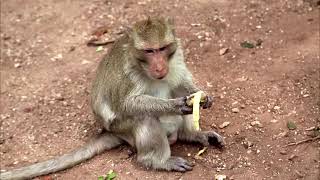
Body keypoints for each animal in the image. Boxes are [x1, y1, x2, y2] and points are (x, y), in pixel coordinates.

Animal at [0, 17, 225, 180]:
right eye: (149, 51)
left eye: (162, 48)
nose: (160, 67)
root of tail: (111, 132)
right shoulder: (127, 75)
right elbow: (127, 104)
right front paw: (175, 105)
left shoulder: (176, 58)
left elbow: (180, 85)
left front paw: (202, 96)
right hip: (123, 128)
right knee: (144, 116)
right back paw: (157, 161)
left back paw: (192, 135)